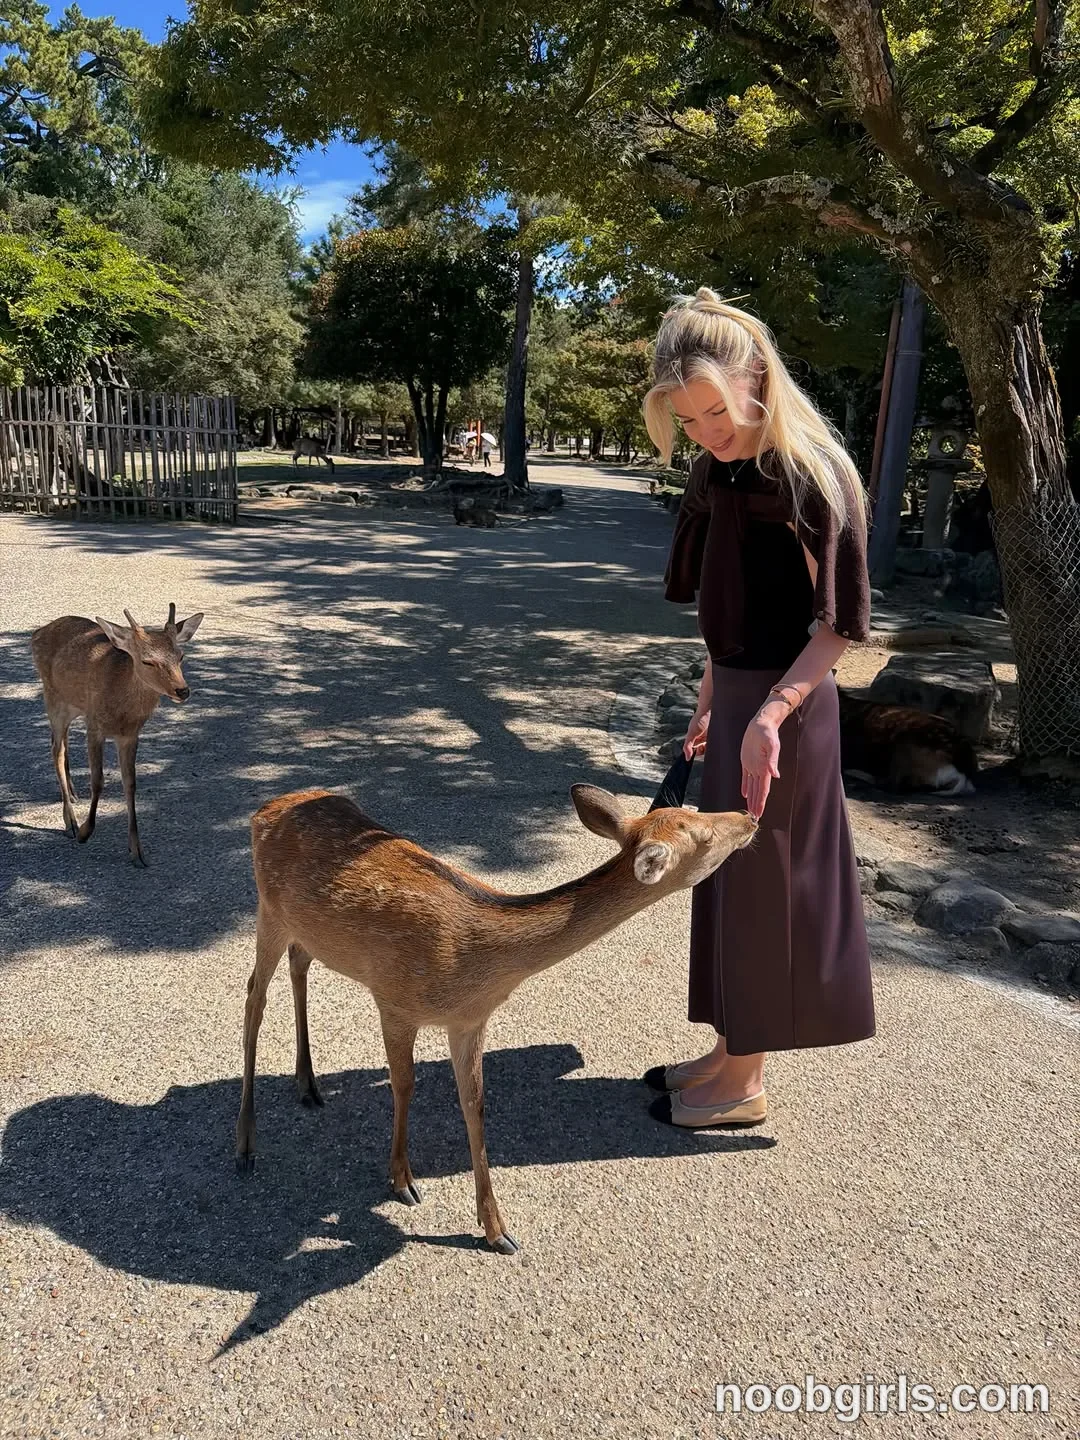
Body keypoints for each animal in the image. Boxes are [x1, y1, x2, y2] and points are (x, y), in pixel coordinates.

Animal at [30, 604, 204, 866]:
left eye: (180, 656)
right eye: (147, 661)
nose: (182, 691)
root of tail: (38, 632)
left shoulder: (130, 735)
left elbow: (130, 784)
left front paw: (137, 851)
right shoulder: (95, 726)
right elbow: (98, 781)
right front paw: (85, 832)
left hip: (73, 705)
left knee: (60, 742)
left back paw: (72, 794)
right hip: (53, 698)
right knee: (56, 750)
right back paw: (70, 822)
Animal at [237, 785, 757, 1253]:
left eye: (692, 812)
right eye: (702, 832)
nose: (749, 816)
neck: (478, 958)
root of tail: (265, 808)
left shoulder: (470, 1020)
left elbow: (476, 1106)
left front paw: (496, 1231)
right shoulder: (395, 1000)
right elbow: (404, 1086)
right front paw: (402, 1181)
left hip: (305, 926)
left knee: (300, 963)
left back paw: (308, 1085)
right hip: (267, 906)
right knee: (253, 998)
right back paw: (246, 1144)